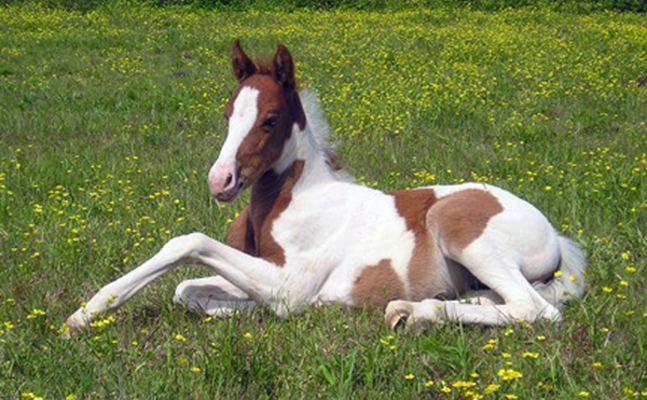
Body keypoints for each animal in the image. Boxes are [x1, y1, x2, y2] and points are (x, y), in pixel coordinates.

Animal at [66, 41, 586, 331]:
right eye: (228, 112)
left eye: (270, 119)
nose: (221, 181)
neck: (292, 202)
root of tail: (555, 236)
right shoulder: (262, 275)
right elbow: (186, 291)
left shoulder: (288, 282)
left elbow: (187, 243)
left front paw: (85, 313)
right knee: (506, 300)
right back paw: (411, 309)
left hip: (461, 229)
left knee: (535, 311)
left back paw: (417, 314)